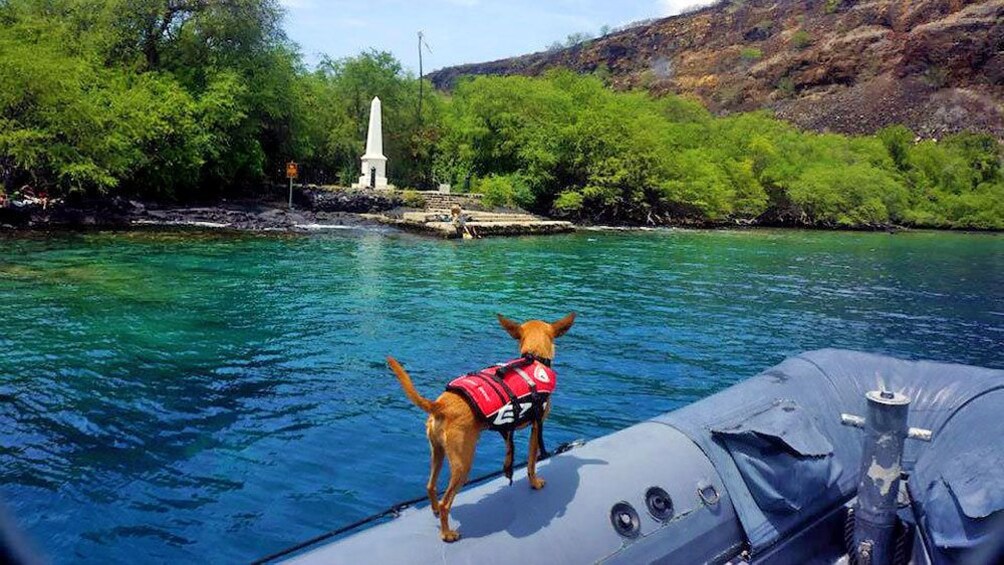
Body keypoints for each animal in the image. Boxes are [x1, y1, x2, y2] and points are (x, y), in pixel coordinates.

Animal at [387, 313, 578, 541]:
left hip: (438, 452)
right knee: (445, 502)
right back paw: (447, 533)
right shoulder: (536, 426)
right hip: (463, 464)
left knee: (431, 486)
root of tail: (441, 405)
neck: (533, 357)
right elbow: (532, 462)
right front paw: (535, 483)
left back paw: (434, 510)